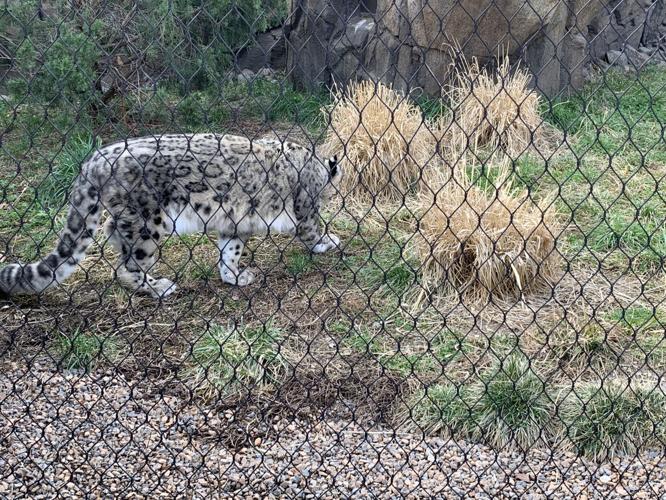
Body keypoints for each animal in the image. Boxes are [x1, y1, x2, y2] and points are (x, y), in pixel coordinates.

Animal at [0, 133, 342, 299]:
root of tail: (94, 159)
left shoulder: (234, 222)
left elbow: (229, 250)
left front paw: (233, 276)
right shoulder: (306, 207)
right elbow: (311, 229)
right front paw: (328, 241)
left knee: (112, 230)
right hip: (148, 223)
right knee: (127, 265)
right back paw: (158, 287)